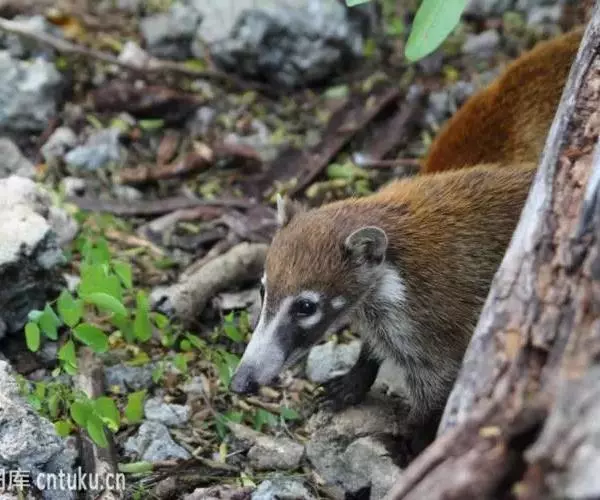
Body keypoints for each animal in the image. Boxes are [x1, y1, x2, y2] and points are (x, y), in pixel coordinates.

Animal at [230, 29, 582, 426]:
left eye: (305, 307)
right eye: (263, 290)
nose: (240, 382)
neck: (390, 273)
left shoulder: (436, 327)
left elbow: (434, 394)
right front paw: (356, 377)